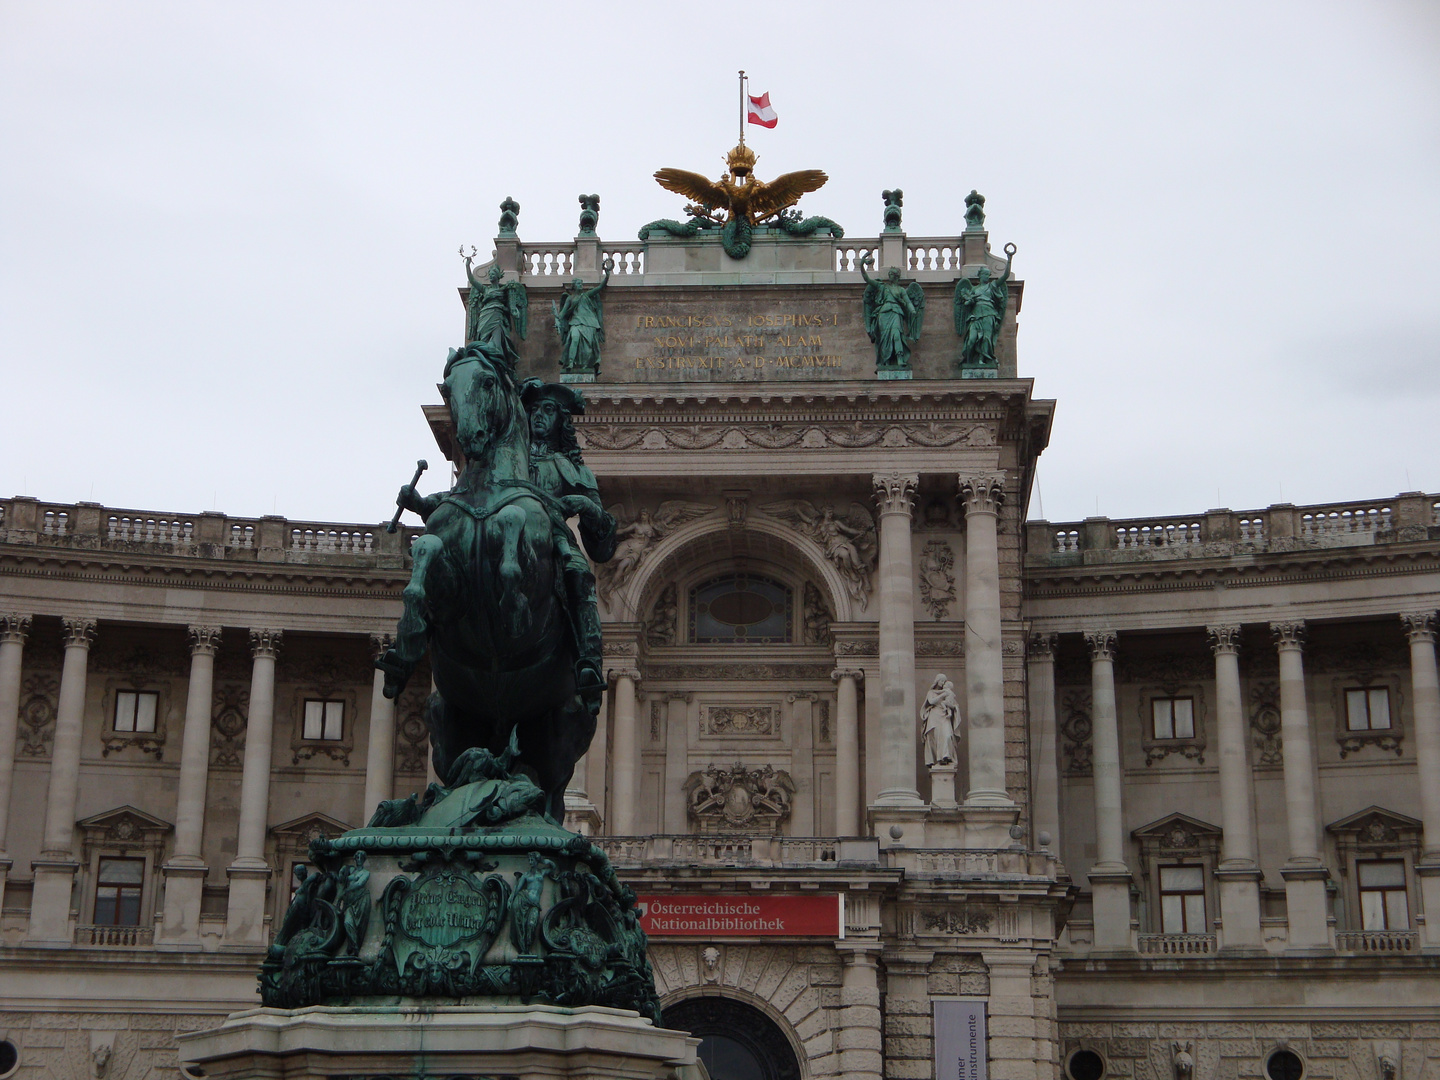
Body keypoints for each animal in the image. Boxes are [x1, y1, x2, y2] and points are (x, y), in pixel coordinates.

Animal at [380, 342, 593, 823]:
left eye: (489, 381)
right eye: (449, 386)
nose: (472, 438)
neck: (485, 490)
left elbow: (516, 526)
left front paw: (512, 612)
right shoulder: (451, 581)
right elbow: (425, 552)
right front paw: (408, 635)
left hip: (560, 733)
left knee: (550, 795)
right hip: (448, 720)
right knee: (461, 774)